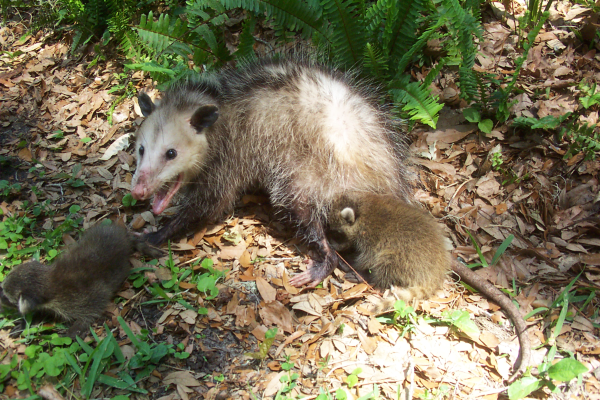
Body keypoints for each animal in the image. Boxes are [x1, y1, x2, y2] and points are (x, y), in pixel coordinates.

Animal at [0, 225, 162, 338]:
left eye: (6, 296)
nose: (0, 296)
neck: (48, 280)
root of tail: (122, 235)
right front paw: (26, 322)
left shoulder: (78, 296)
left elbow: (94, 306)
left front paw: (72, 330)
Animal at [328, 194, 528, 382]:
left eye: (337, 233)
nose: (329, 246)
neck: (362, 207)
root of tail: (436, 270)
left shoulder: (371, 236)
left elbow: (367, 257)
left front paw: (355, 265)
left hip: (404, 255)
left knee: (386, 264)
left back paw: (367, 276)